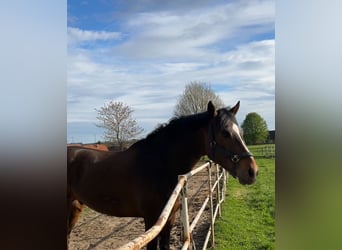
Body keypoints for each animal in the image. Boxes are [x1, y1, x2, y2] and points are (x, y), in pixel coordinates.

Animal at [67, 100, 260, 249]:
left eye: (241, 133)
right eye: (225, 133)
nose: (252, 171)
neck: (161, 164)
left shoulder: (169, 220)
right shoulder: (151, 221)